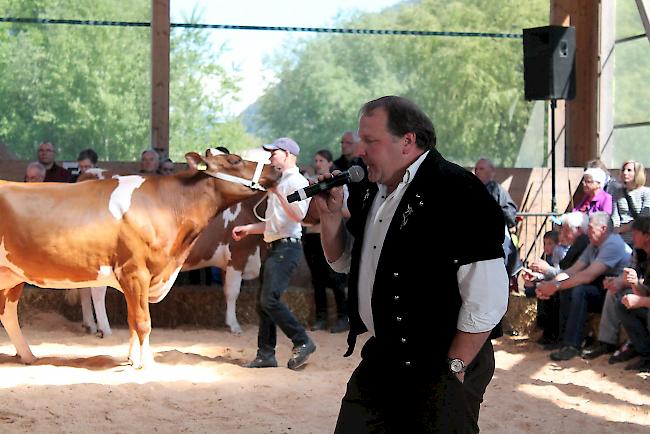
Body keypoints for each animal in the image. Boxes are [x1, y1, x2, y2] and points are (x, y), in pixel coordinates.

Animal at [0, 151, 276, 368]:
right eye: (235, 159)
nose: (274, 168)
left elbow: (133, 319)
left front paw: (133, 359)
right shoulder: (135, 272)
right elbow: (142, 321)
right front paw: (147, 363)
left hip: (12, 276)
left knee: (8, 313)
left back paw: (28, 356)